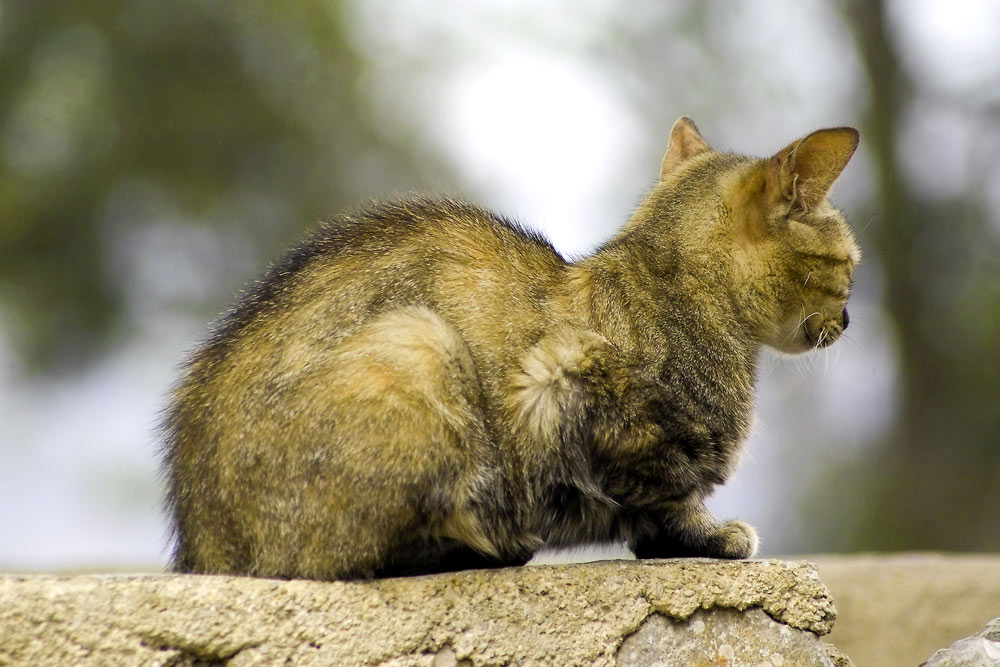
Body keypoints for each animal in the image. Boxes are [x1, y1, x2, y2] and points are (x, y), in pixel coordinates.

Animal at [160, 118, 856, 580]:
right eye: (851, 264)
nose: (849, 318)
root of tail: (201, 545)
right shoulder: (563, 382)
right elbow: (667, 493)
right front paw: (710, 533)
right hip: (420, 344)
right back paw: (482, 546)